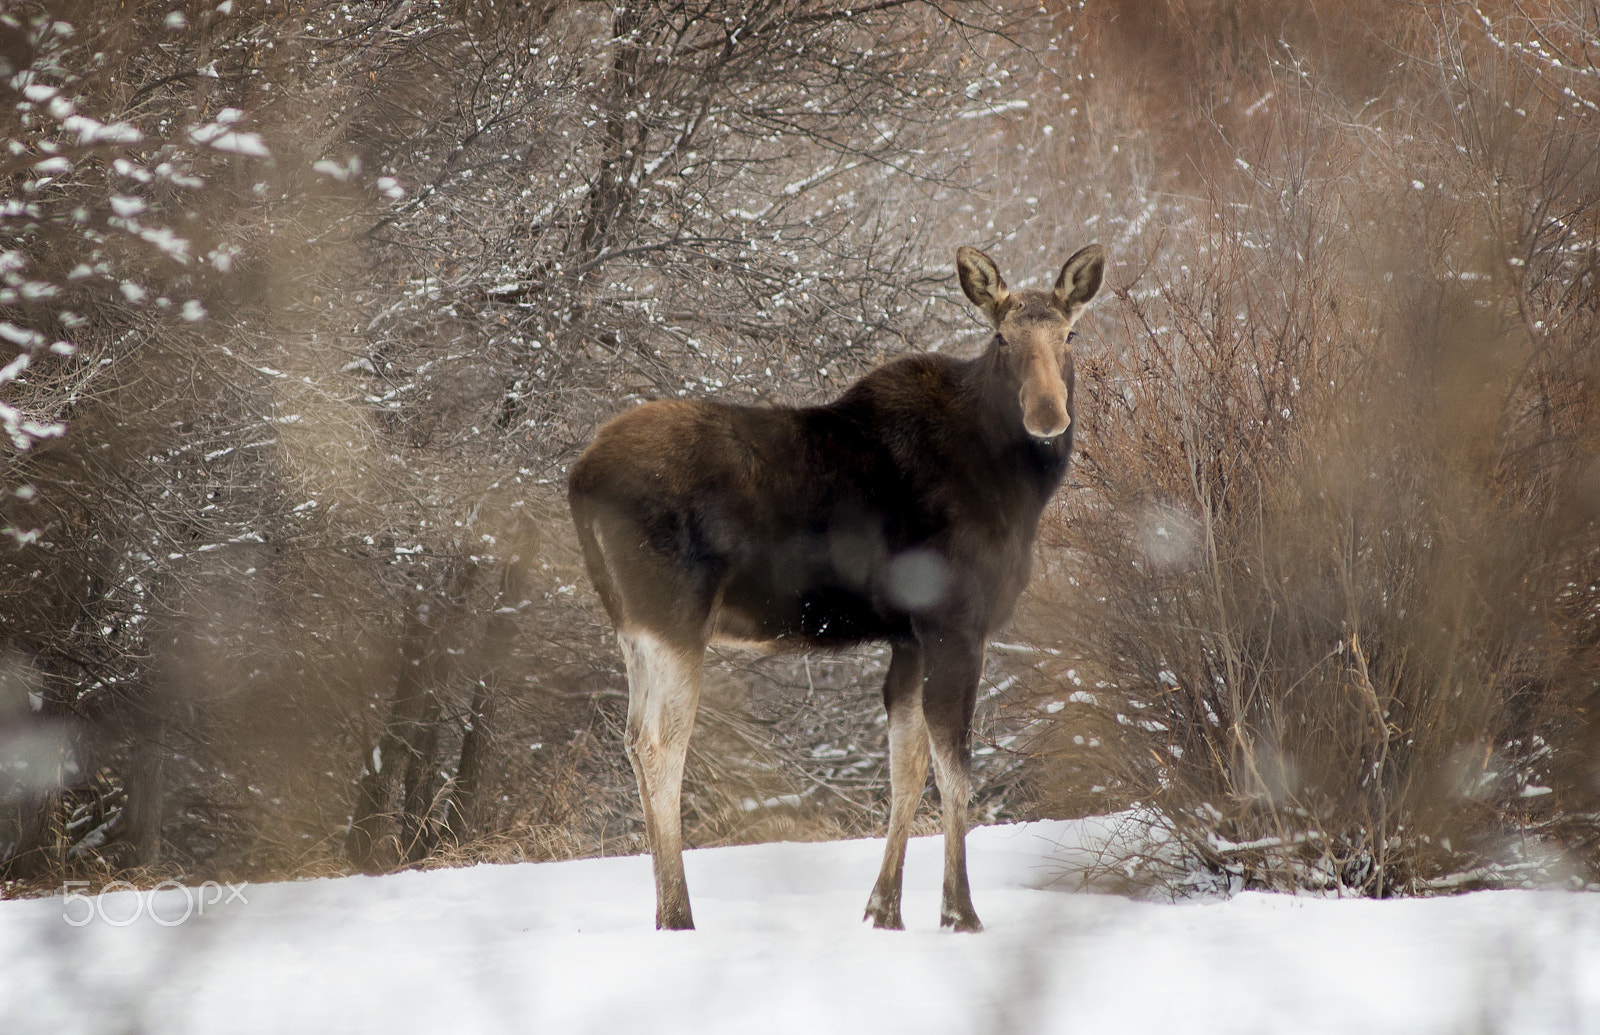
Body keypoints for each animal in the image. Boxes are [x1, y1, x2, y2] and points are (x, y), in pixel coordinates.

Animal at [567, 244, 1105, 931]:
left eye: (1070, 334)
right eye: (1002, 336)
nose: (1047, 416)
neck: (1017, 488)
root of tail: (579, 478)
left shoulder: (908, 637)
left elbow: (908, 767)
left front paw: (885, 910)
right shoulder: (954, 622)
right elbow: (956, 770)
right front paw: (960, 913)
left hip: (633, 629)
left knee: (635, 741)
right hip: (675, 621)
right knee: (662, 746)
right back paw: (678, 915)